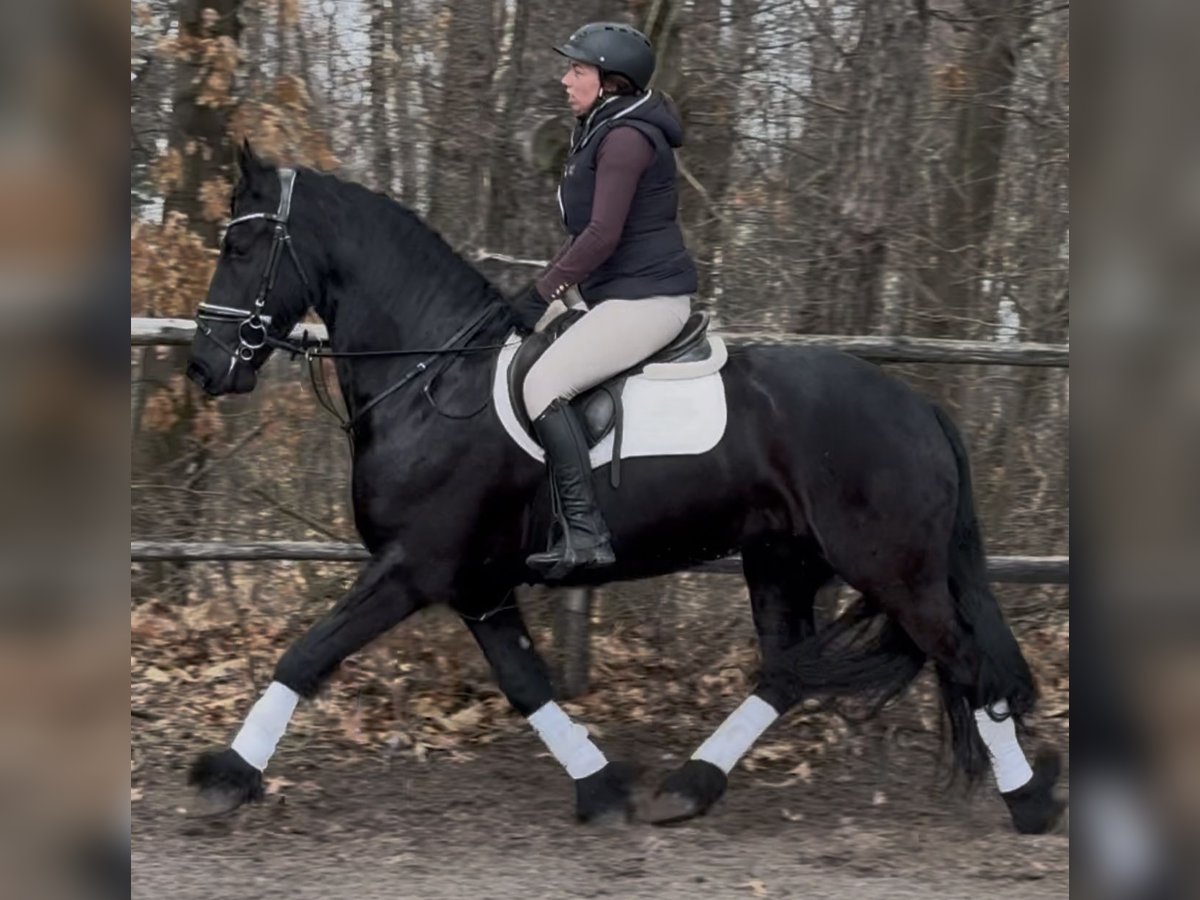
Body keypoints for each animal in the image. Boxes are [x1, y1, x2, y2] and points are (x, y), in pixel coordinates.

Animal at [182, 142, 1065, 840]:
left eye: (241, 245)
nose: (203, 368)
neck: (432, 377)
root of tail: (918, 405)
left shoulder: (413, 567)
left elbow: (306, 655)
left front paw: (225, 777)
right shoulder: (477, 586)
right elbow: (526, 685)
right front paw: (602, 787)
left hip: (892, 568)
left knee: (966, 664)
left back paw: (1029, 803)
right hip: (782, 560)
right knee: (786, 672)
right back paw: (687, 788)